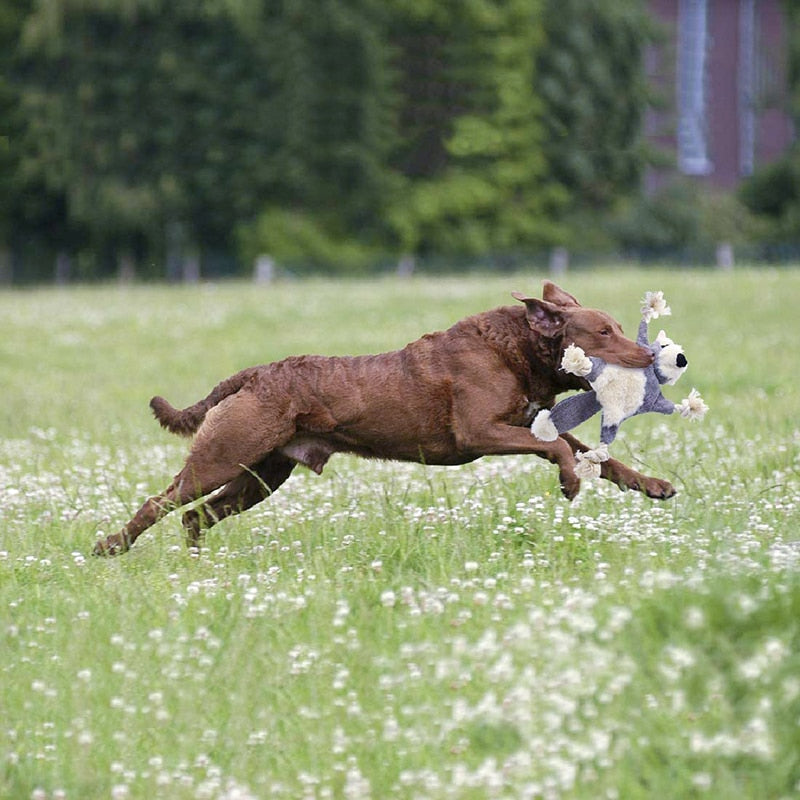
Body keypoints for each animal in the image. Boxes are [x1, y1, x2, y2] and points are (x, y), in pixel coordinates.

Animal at [92, 282, 676, 556]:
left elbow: (597, 454)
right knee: (162, 502)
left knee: (196, 517)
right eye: (602, 332)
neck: (517, 350)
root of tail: (252, 375)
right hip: (226, 455)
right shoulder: (479, 432)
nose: (652, 356)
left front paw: (652, 485)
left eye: (616, 326)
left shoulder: (526, 425)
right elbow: (560, 451)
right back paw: (110, 547)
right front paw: (569, 484)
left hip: (262, 475)